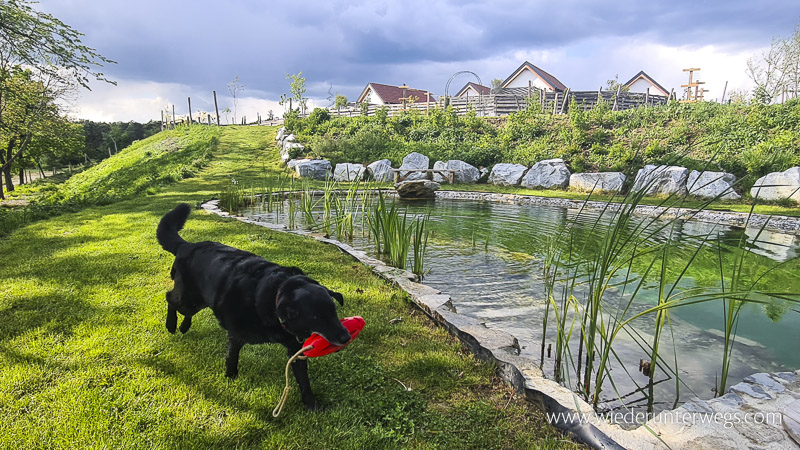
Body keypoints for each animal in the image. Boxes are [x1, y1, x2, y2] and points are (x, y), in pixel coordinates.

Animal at [156, 204, 350, 412]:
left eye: (333, 312)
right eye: (316, 317)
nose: (346, 337)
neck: (276, 293)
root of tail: (187, 245)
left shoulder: (295, 348)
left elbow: (303, 380)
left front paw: (311, 404)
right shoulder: (236, 336)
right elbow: (231, 359)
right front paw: (230, 378)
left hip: (198, 302)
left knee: (184, 309)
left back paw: (184, 327)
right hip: (188, 299)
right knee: (169, 298)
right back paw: (171, 325)